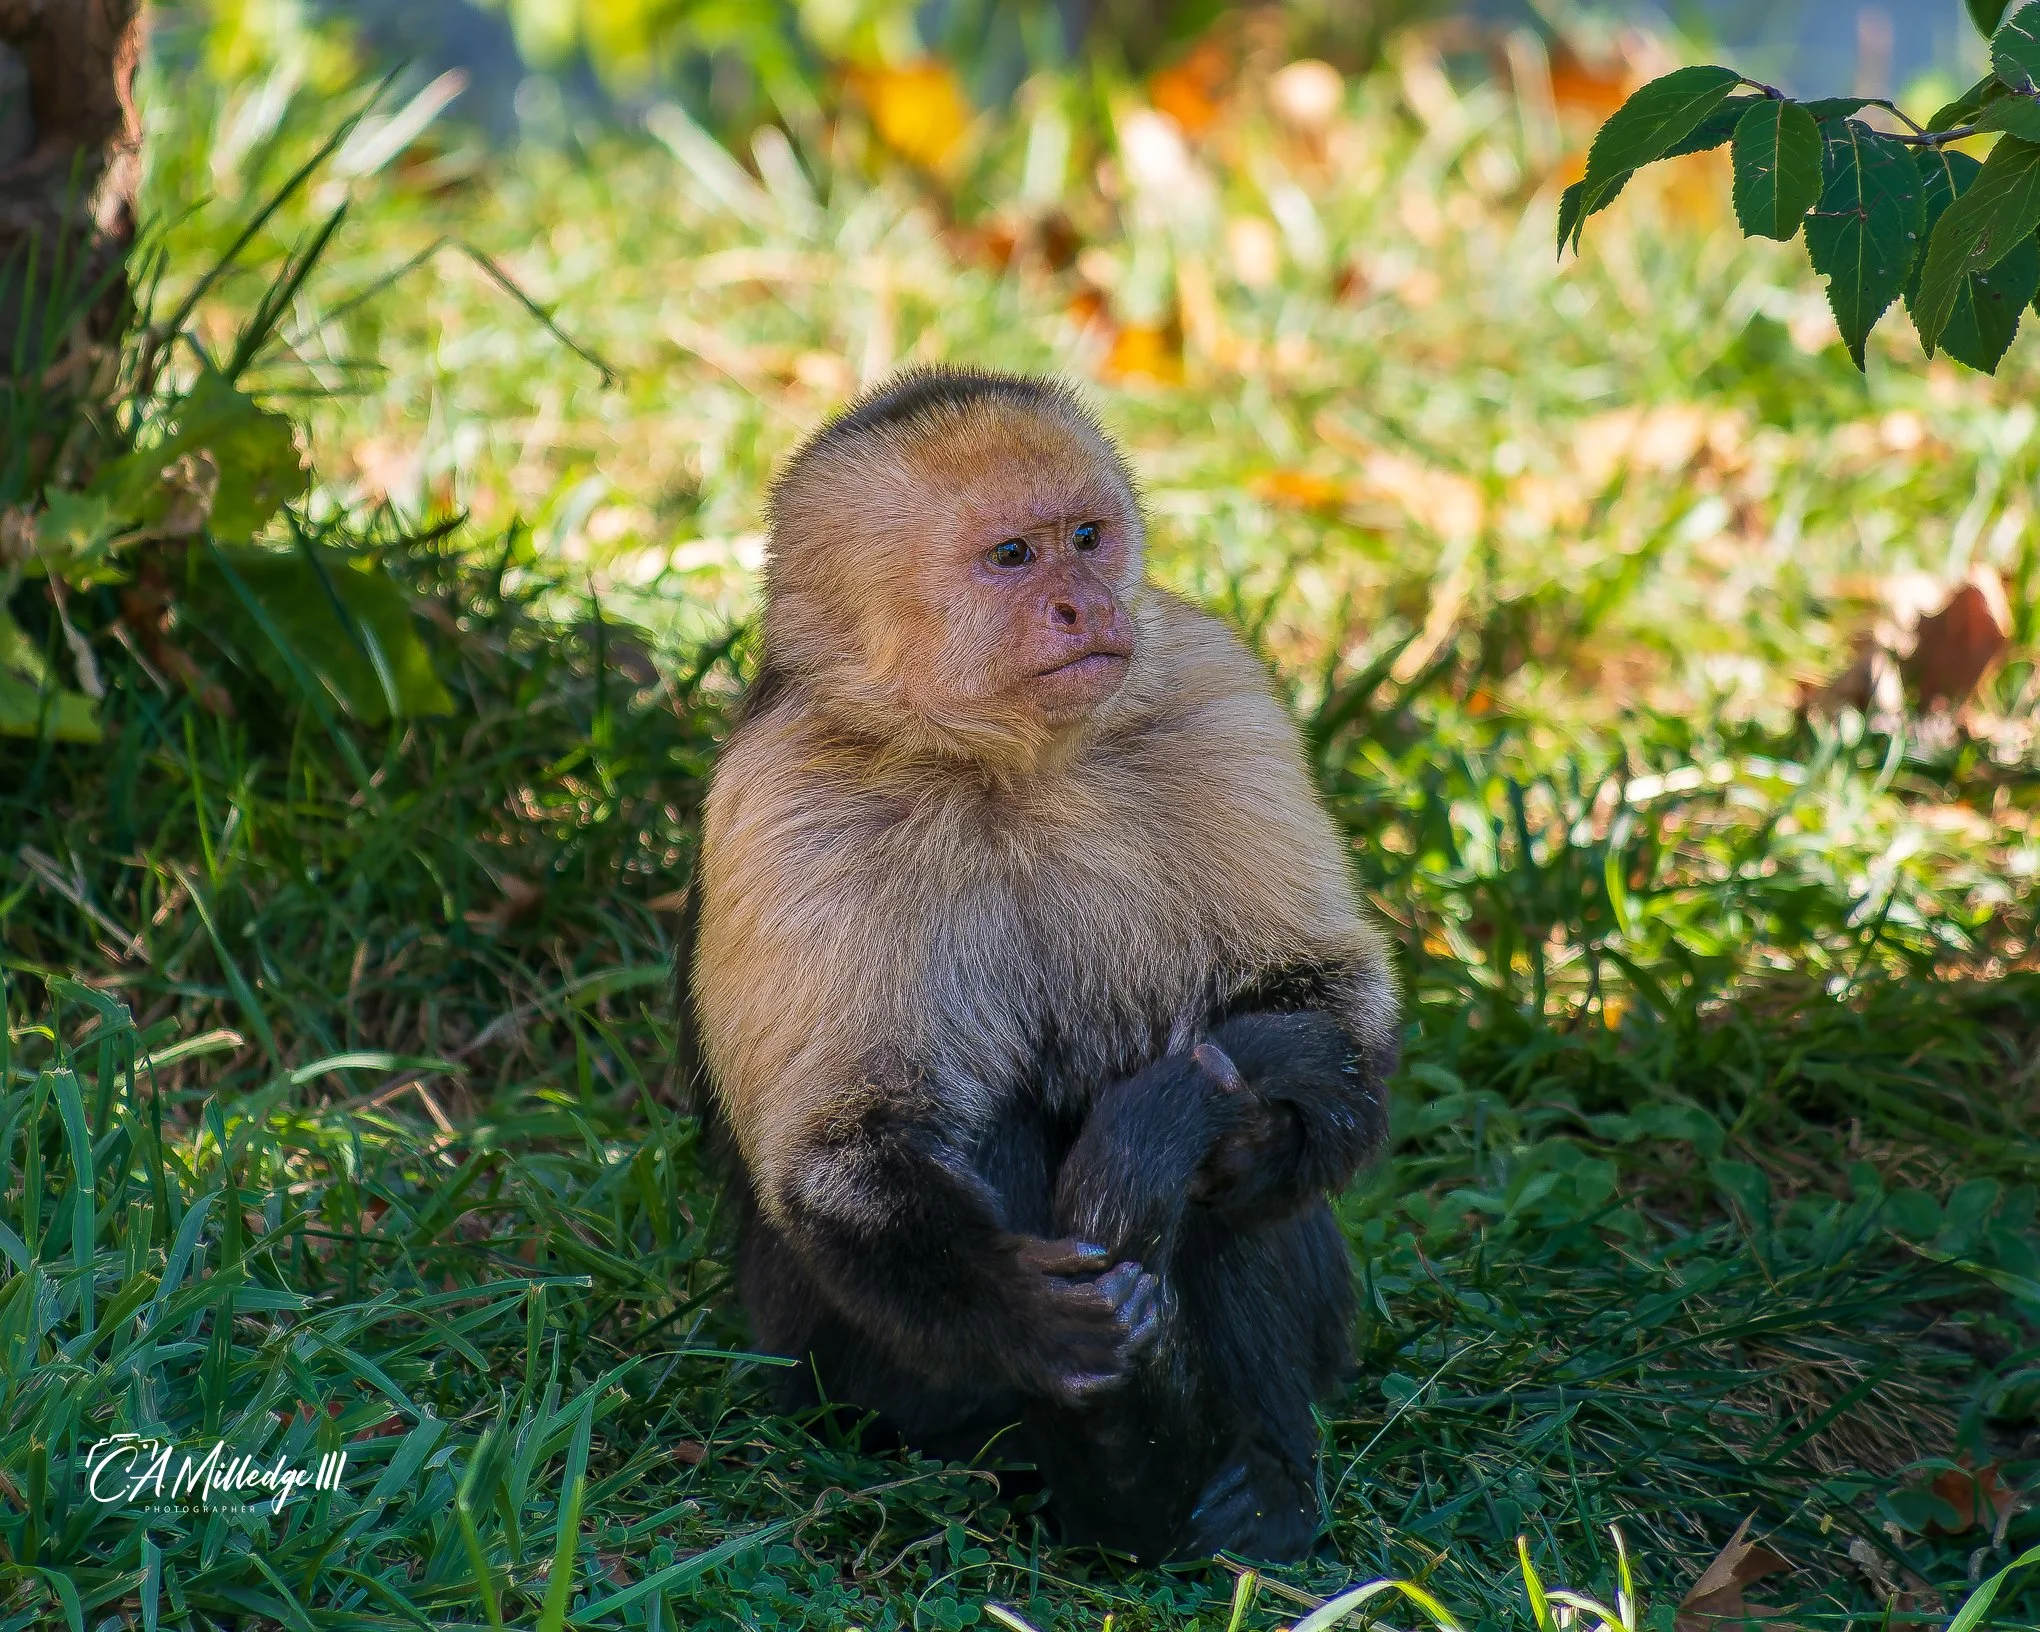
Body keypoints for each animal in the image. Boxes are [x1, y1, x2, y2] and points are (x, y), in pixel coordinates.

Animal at [689, 366, 1398, 1563]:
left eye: (1087, 538)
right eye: (1013, 557)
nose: (1083, 606)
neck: (1002, 762)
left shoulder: (1215, 692)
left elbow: (1323, 998)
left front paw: (1247, 1135)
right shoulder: (787, 801)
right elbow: (836, 1144)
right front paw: (1026, 1315)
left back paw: (1256, 1481)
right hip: (840, 1387)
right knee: (989, 1131)